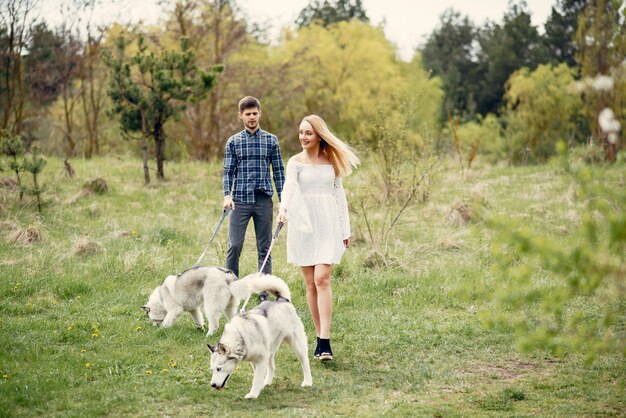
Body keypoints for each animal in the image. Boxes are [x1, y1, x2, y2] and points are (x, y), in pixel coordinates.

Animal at [141, 268, 270, 336]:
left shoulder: (174, 310)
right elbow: (198, 320)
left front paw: (161, 329)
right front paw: (200, 328)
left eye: (152, 319)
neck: (161, 297)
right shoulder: (194, 310)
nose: (153, 327)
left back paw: (209, 335)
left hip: (211, 306)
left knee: (214, 324)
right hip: (230, 308)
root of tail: (228, 278)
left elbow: (166, 321)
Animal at [207, 272, 312, 400]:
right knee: (272, 366)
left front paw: (253, 394)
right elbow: (259, 374)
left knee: (305, 363)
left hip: (297, 345)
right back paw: (268, 381)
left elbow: (256, 378)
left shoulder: (261, 359)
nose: (212, 385)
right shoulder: (255, 360)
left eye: (219, 368)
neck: (241, 336)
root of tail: (283, 300)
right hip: (270, 350)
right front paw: (260, 386)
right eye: (212, 369)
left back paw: (307, 382)